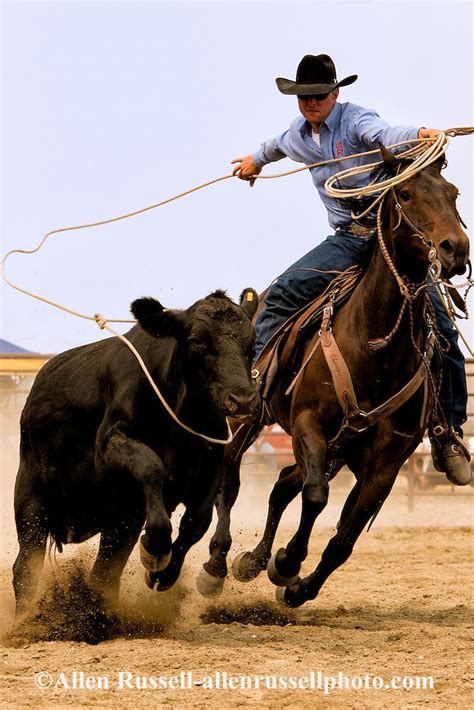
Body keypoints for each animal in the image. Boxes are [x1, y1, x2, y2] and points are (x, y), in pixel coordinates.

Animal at [13, 290, 260, 616]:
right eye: (197, 341)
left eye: (252, 343)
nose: (242, 399)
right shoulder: (109, 447)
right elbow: (152, 470)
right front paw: (155, 549)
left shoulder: (209, 470)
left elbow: (198, 521)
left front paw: (165, 572)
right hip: (32, 502)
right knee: (25, 569)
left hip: (120, 519)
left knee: (104, 574)